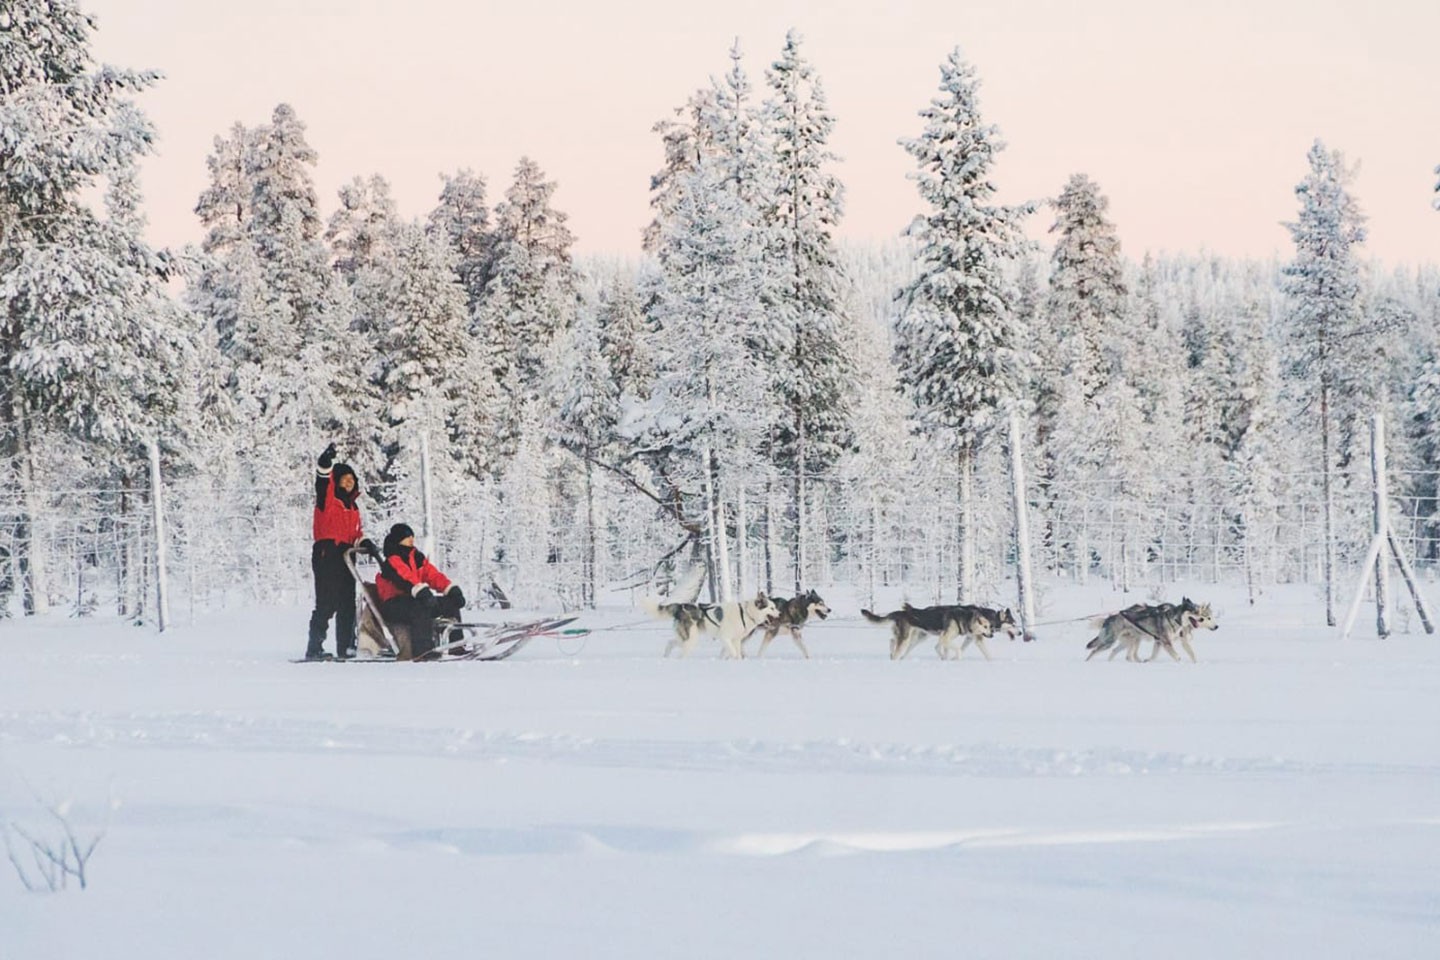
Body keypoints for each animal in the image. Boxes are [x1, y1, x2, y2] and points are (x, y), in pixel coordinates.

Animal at [639, 592, 777, 662]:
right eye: (772, 608)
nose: (780, 613)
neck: (746, 612)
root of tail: (680, 606)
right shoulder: (725, 638)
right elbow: (733, 653)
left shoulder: (735, 640)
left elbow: (735, 653)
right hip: (691, 639)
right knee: (681, 653)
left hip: (685, 638)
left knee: (670, 643)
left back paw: (666, 657)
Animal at [858, 604, 996, 664]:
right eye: (985, 626)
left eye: (990, 626)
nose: (992, 635)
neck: (964, 618)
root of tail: (898, 612)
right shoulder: (945, 638)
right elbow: (957, 649)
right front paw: (957, 658)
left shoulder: (944, 639)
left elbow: (941, 649)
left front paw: (945, 659)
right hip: (907, 638)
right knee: (897, 649)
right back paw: (894, 660)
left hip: (915, 638)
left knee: (892, 641)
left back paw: (894, 656)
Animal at [1082, 595, 1221, 664]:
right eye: (1197, 613)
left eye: (1208, 617)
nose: (1216, 627)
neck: (1175, 619)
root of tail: (1109, 617)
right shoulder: (1166, 642)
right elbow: (1177, 656)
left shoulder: (1161, 642)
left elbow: (1190, 654)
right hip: (1109, 642)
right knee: (1094, 651)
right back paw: (1086, 663)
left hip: (1128, 642)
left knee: (1116, 652)